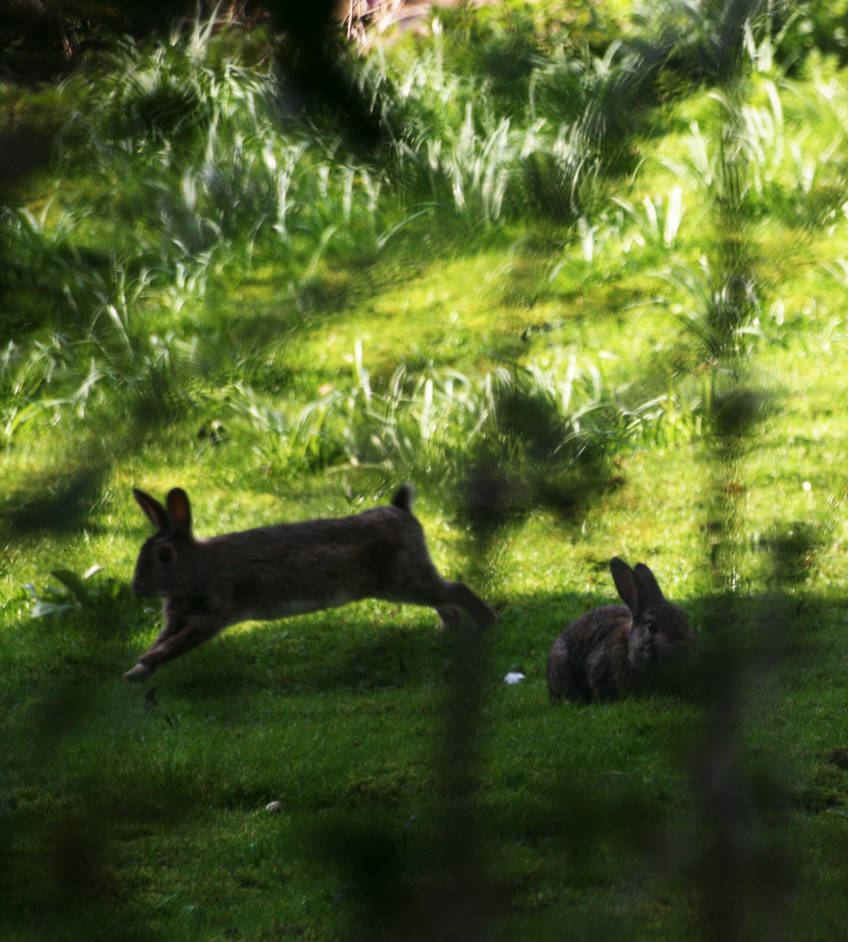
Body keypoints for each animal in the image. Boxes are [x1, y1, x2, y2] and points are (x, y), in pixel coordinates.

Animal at [124, 484, 496, 681]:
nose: (136, 589)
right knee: (444, 601)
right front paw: (137, 670)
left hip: (405, 580)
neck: (198, 566)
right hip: (405, 583)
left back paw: (487, 623)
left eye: (165, 555)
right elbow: (166, 638)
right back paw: (449, 631)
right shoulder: (178, 618)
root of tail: (402, 511)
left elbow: (176, 645)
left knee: (456, 590)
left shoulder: (210, 615)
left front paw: (145, 661)